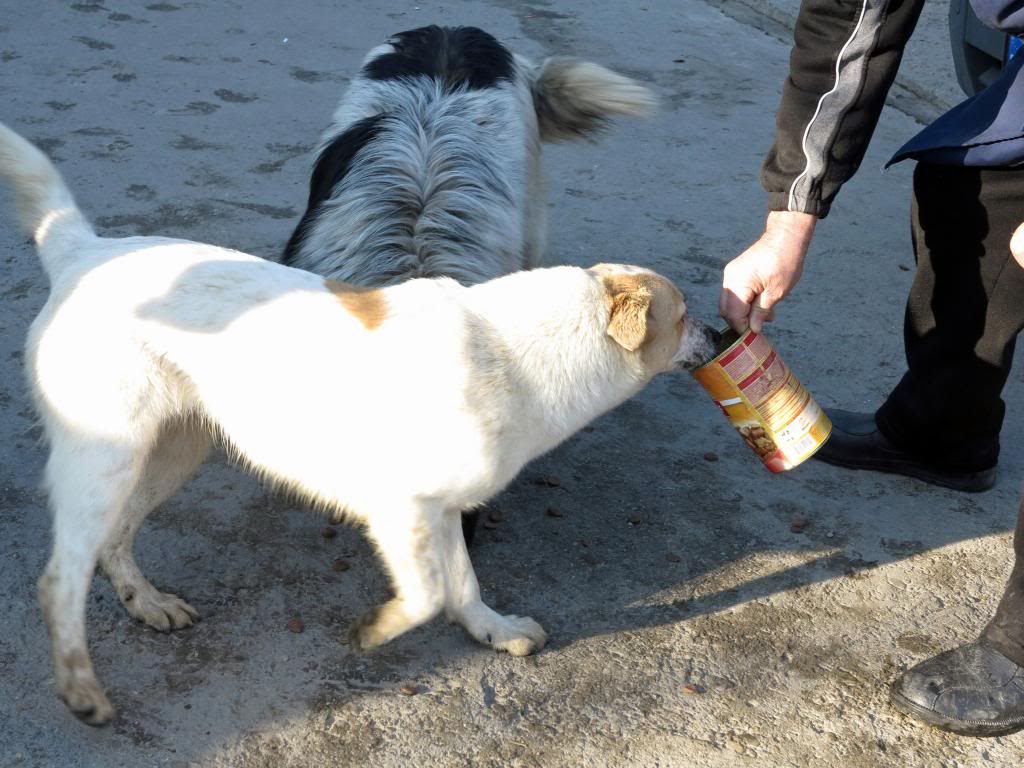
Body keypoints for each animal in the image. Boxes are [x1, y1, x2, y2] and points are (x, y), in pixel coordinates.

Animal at [0, 123, 716, 724]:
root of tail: (82, 251)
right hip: (107, 458)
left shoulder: (441, 511)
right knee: (61, 577)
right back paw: (82, 689)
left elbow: (463, 585)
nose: (721, 334)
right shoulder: (399, 509)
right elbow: (427, 596)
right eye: (683, 315)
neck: (511, 350)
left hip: (173, 450)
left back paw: (146, 604)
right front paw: (377, 629)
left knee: (114, 540)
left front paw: (493, 630)